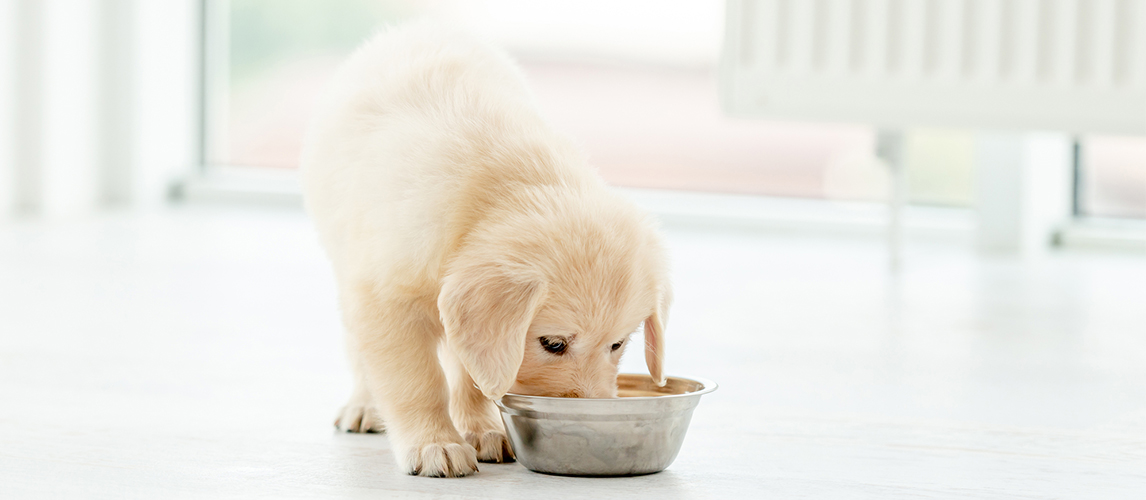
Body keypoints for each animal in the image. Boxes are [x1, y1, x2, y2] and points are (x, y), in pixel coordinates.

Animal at [300, 24, 669, 479]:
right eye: (553, 344)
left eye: (617, 345)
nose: (590, 412)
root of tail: (408, 31)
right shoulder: (386, 299)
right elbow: (416, 381)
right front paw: (435, 443)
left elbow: (473, 373)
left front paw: (482, 429)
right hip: (346, 261)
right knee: (358, 348)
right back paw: (364, 407)